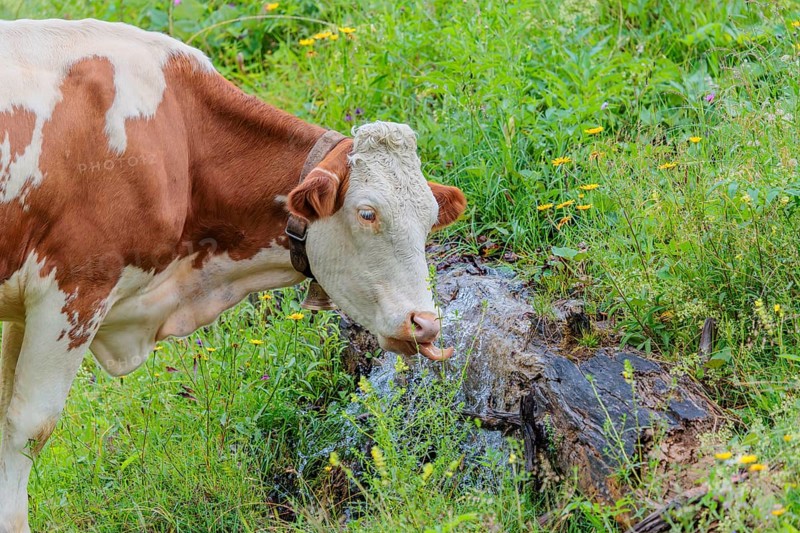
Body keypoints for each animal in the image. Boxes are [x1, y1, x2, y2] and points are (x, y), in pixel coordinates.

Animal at [0, 18, 466, 531]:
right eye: (367, 213)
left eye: (429, 218)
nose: (426, 323)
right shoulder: (73, 290)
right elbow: (30, 426)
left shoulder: (24, 307)